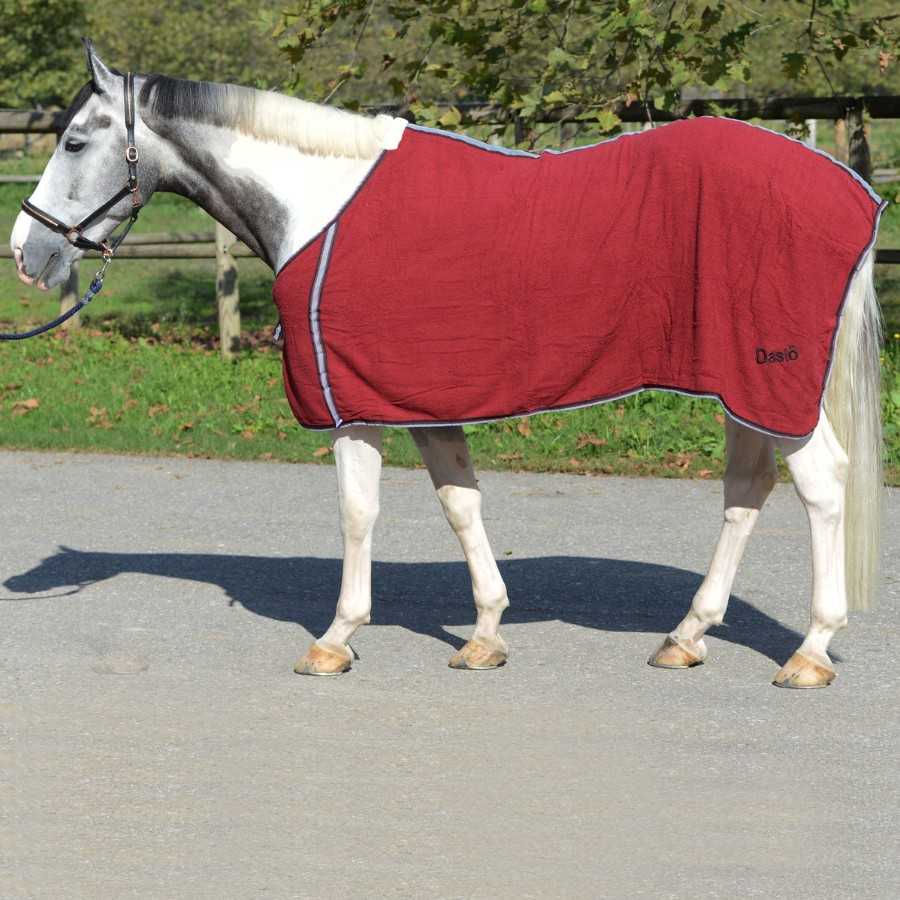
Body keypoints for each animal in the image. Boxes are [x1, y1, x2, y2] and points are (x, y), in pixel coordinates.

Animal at [9, 41, 884, 688]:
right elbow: (461, 504)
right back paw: (688, 635)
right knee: (746, 491)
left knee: (820, 486)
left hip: (773, 380)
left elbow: (358, 514)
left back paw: (810, 650)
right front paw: (486, 633)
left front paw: (336, 637)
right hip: (744, 386)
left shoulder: (354, 405)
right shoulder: (421, 402)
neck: (319, 202)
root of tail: (854, 193)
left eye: (74, 141)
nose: (26, 252)